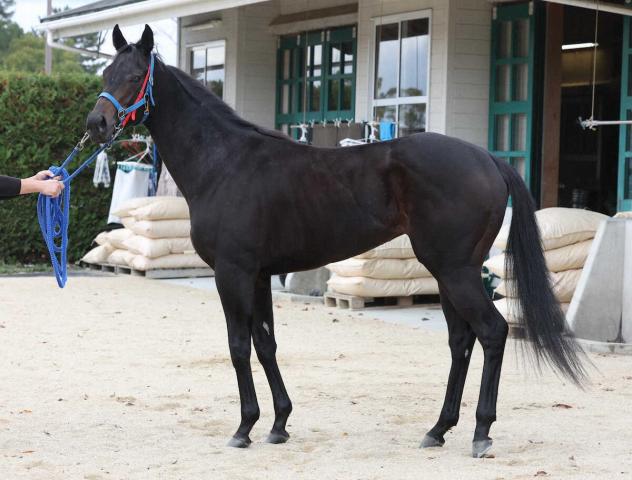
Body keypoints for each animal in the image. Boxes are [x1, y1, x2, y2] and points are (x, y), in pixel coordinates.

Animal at [85, 25, 586, 458]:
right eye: (106, 75)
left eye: (134, 76)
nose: (96, 124)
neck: (225, 162)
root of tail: (487, 159)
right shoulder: (260, 276)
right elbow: (265, 344)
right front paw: (279, 423)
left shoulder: (233, 273)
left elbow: (238, 345)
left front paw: (244, 427)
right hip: (450, 273)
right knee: (461, 340)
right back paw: (438, 429)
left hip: (455, 271)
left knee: (492, 332)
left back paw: (481, 433)